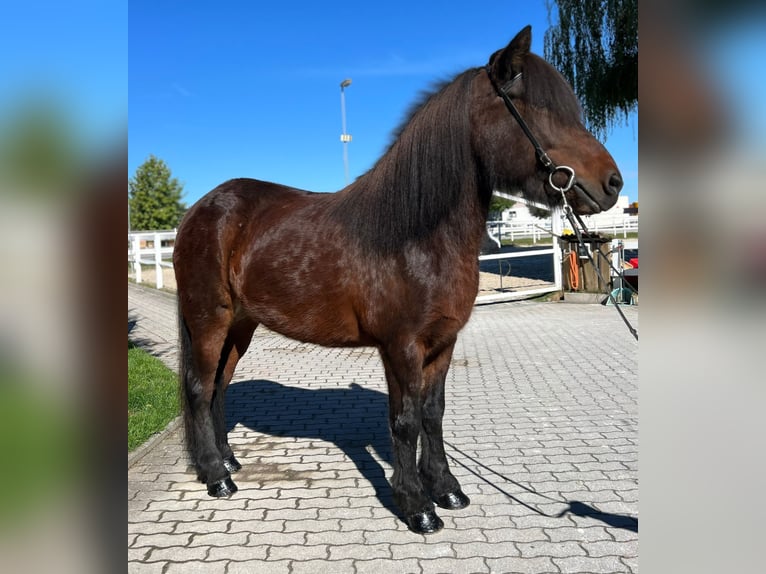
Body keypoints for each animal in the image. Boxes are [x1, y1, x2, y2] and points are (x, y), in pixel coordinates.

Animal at [173, 25, 622, 534]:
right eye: (537, 109)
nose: (613, 183)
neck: (416, 237)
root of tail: (201, 210)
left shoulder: (442, 344)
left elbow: (433, 413)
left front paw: (446, 488)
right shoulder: (400, 346)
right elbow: (405, 420)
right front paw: (416, 505)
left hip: (241, 326)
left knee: (219, 388)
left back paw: (229, 462)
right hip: (209, 320)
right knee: (199, 388)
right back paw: (215, 476)